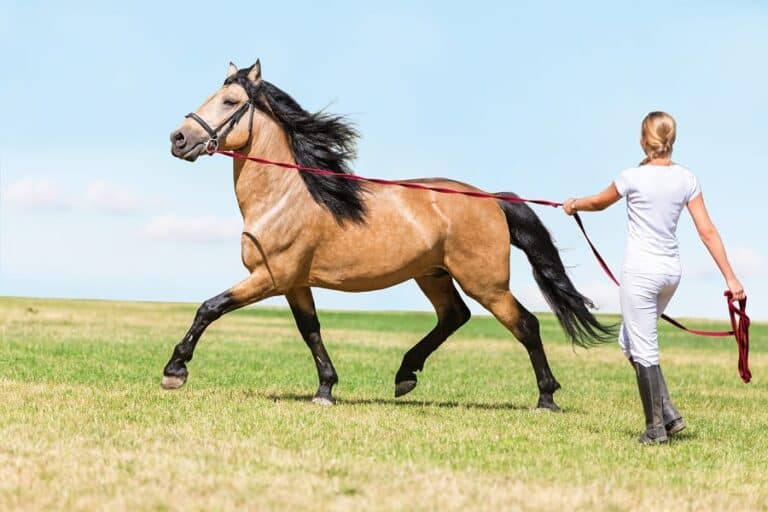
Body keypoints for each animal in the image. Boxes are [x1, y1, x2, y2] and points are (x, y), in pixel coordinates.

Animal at [164, 59, 612, 411]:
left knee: (526, 325)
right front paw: (326, 389)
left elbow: (209, 307)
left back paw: (546, 397)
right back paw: (405, 375)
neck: (286, 196)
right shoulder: (295, 284)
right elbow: (311, 331)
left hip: (486, 283)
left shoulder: (271, 278)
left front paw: (174, 370)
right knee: (455, 316)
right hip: (433, 275)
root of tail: (491, 200)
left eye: (229, 102)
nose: (179, 139)